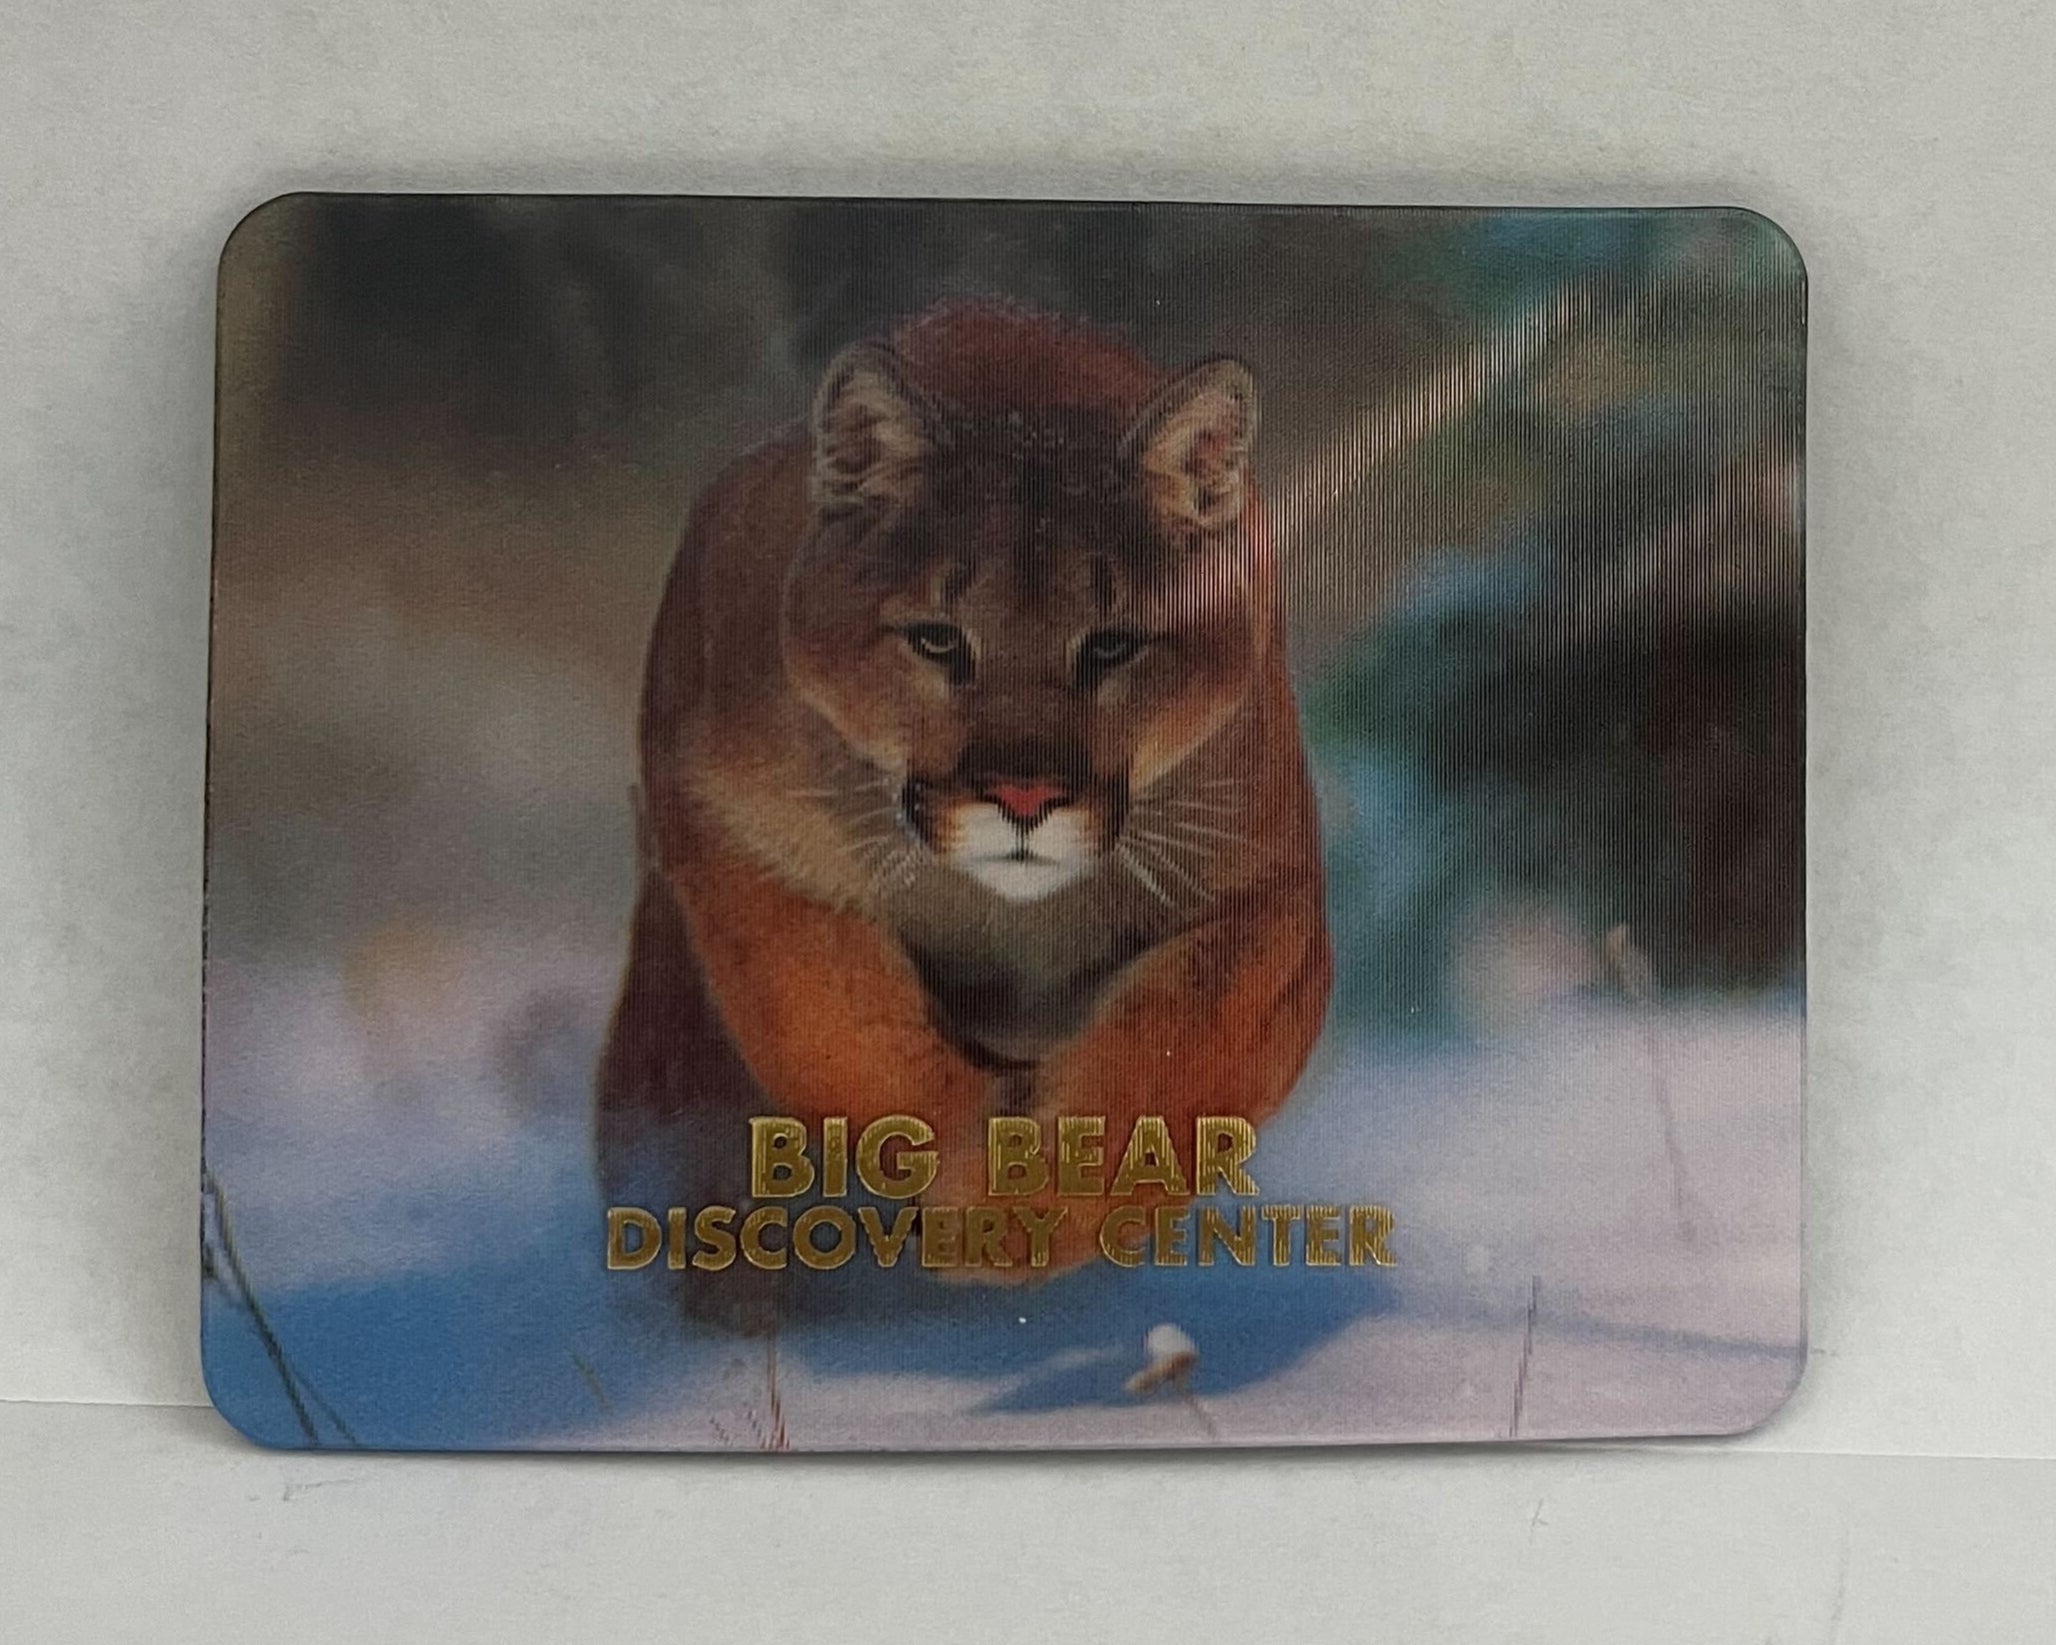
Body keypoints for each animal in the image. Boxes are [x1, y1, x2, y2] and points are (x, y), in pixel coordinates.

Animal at [596, 300, 1331, 1296]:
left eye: (1110, 644)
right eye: (939, 640)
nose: (1025, 794)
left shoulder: (1272, 895)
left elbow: (1178, 1060)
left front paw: (1020, 1214)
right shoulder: (728, 831)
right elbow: (833, 1022)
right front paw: (963, 1178)